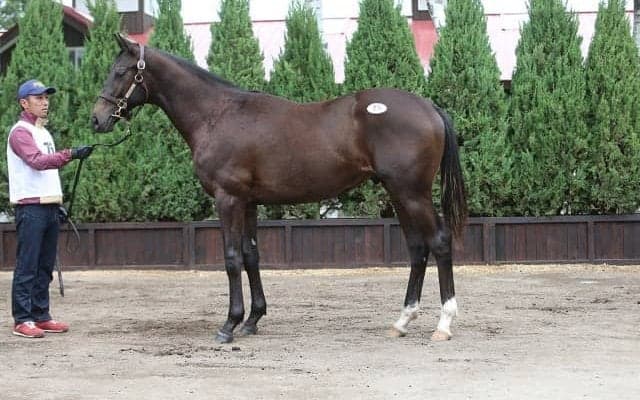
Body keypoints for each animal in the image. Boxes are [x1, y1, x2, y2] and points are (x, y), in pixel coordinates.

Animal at [91, 33, 467, 344]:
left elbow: (231, 258)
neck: (218, 115)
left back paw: (443, 324)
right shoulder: (248, 202)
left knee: (439, 242)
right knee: (417, 247)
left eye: (121, 71)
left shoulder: (228, 199)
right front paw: (252, 320)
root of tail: (429, 107)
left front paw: (229, 325)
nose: (97, 119)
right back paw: (402, 321)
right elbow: (251, 255)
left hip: (412, 193)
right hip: (398, 192)